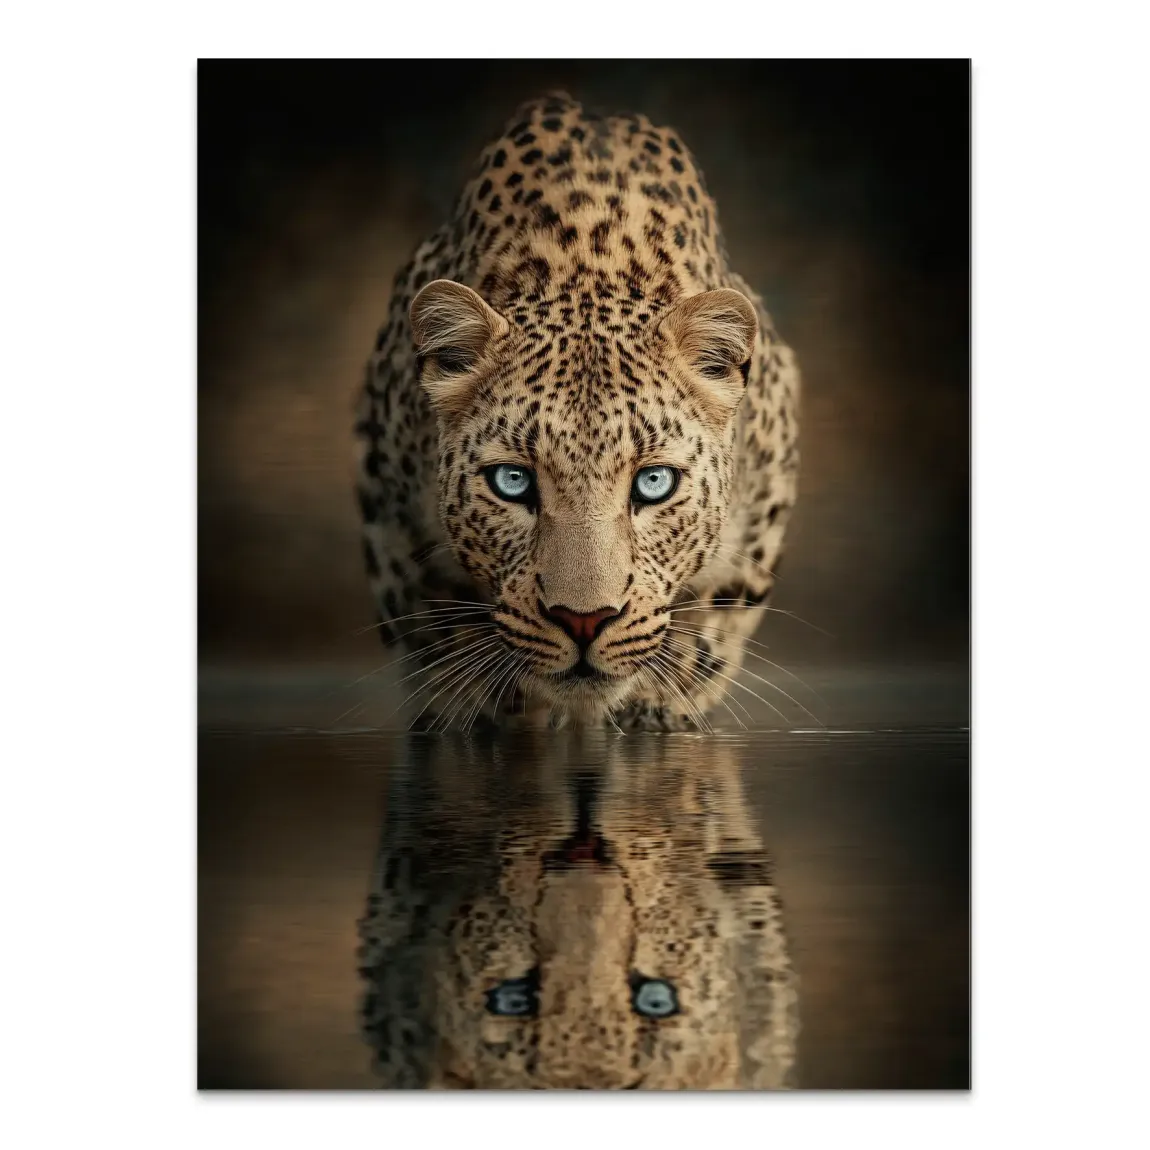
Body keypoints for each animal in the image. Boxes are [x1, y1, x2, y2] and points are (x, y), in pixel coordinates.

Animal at [355, 91, 800, 731]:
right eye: (512, 482)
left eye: (655, 483)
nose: (584, 620)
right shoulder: (390, 514)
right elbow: (435, 633)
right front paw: (485, 710)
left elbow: (711, 626)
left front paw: (657, 706)